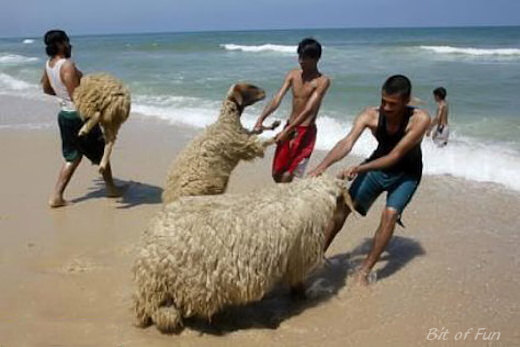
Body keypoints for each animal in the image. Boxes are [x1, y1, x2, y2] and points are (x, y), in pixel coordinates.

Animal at [133, 177, 354, 334]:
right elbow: (297, 285)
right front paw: (304, 298)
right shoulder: (298, 257)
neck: (310, 196)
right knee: (162, 312)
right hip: (166, 286)